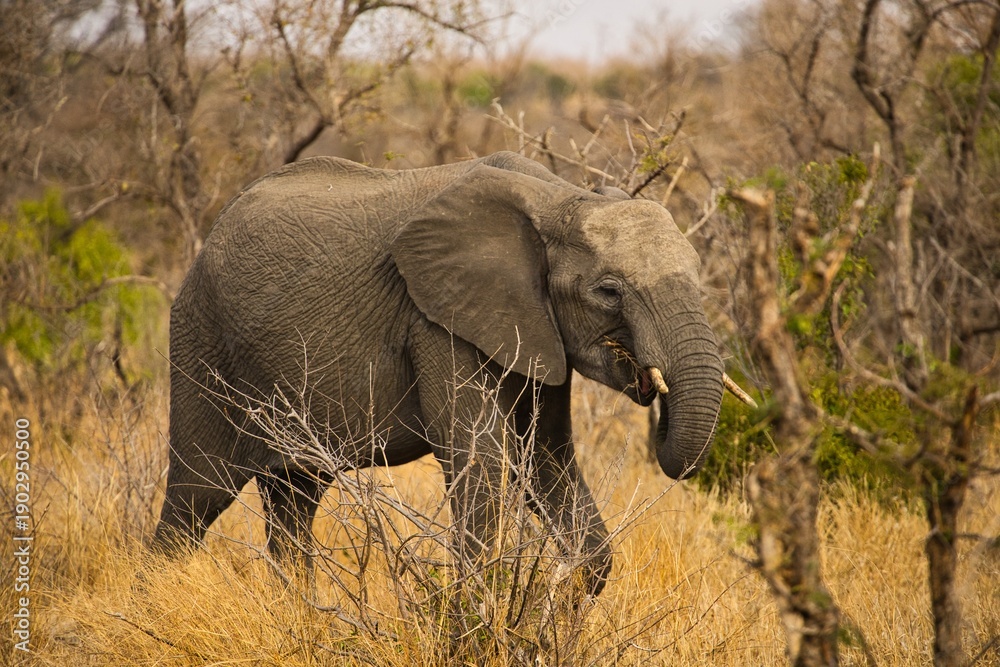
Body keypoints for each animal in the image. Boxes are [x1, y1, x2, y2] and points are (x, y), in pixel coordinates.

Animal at [152, 151, 727, 596]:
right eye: (609, 291)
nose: (653, 388)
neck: (559, 198)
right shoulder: (435, 319)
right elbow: (482, 464)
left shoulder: (535, 326)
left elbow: (545, 460)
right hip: (202, 344)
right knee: (194, 500)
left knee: (294, 497)